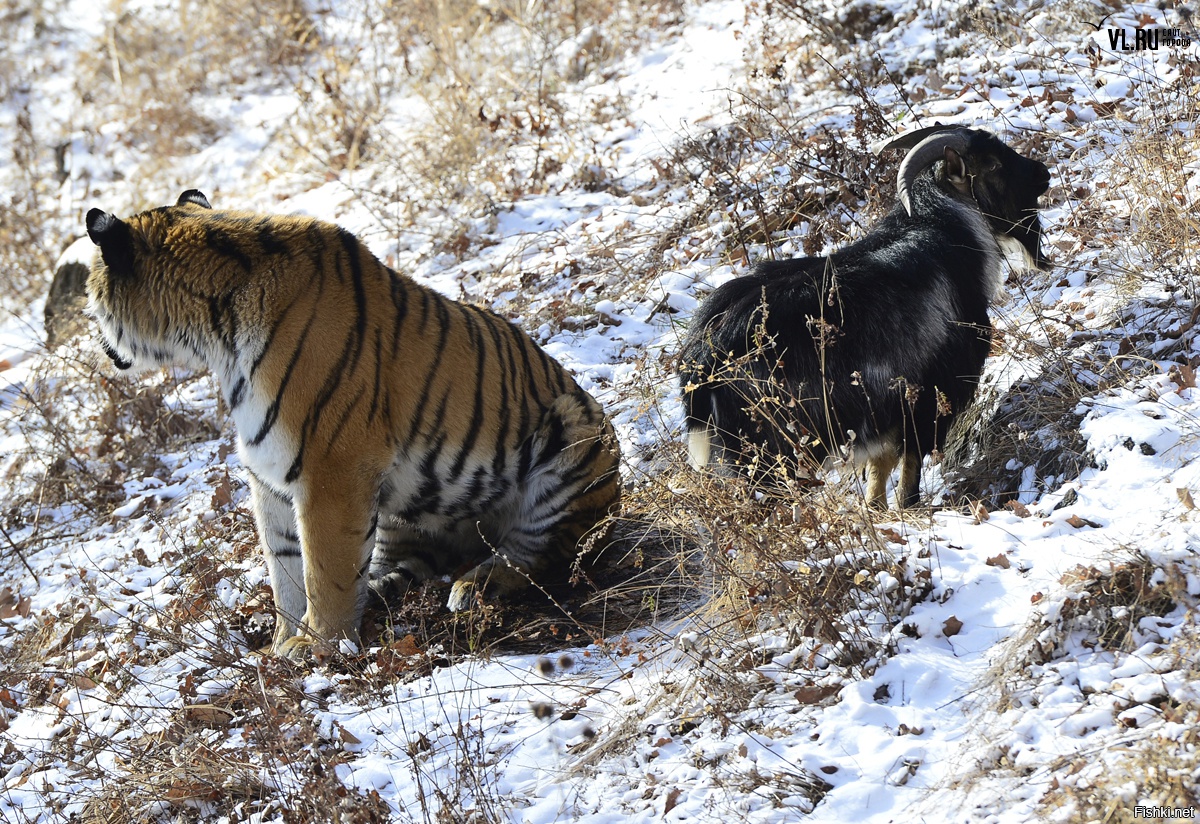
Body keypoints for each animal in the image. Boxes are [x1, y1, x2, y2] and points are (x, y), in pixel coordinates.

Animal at [87, 190, 619, 662]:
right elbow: (285, 569)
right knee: (409, 563)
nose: (99, 344)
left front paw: (317, 645)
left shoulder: (331, 470)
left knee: (538, 555)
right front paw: (282, 644)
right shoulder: (269, 474)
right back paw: (388, 589)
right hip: (404, 506)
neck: (213, 337)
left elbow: (325, 569)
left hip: (573, 435)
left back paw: (474, 587)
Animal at [681, 125, 1056, 506]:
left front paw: (877, 506)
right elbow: (910, 461)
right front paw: (908, 505)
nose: (1042, 173)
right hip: (771, 446)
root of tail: (704, 359)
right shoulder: (930, 392)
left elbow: (881, 466)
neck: (943, 230)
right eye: (992, 163)